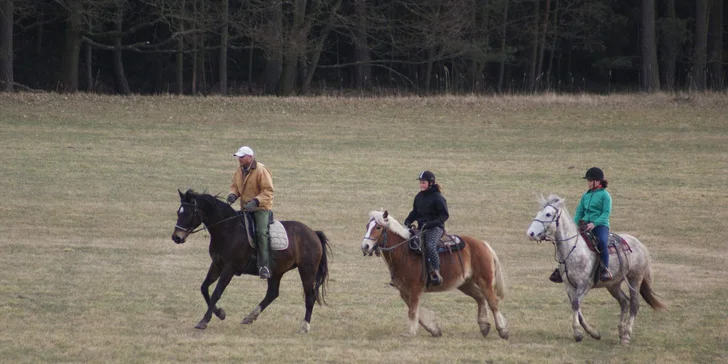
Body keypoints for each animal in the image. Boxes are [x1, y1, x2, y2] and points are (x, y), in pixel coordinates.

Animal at [171, 191, 330, 332]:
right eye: (178, 212)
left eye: (188, 213)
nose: (176, 237)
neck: (228, 229)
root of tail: (313, 233)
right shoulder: (216, 265)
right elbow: (204, 288)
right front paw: (220, 313)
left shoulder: (229, 268)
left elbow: (217, 292)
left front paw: (204, 320)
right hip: (276, 271)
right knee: (272, 294)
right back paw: (250, 317)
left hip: (307, 270)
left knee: (310, 297)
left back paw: (305, 326)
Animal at [362, 210, 510, 338]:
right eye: (367, 226)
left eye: (378, 227)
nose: (365, 247)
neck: (404, 251)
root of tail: (484, 245)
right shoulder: (404, 291)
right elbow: (415, 311)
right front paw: (434, 329)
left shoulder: (415, 288)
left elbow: (413, 311)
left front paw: (410, 332)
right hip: (465, 284)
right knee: (480, 298)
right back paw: (484, 326)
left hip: (485, 281)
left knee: (493, 303)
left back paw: (502, 330)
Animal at [528, 195, 668, 342]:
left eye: (548, 214)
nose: (530, 233)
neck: (574, 249)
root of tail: (640, 245)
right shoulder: (569, 286)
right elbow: (576, 308)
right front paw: (593, 333)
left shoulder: (585, 284)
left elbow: (576, 304)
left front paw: (578, 333)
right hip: (613, 285)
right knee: (624, 302)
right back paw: (620, 330)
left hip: (635, 280)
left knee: (634, 305)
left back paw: (626, 335)